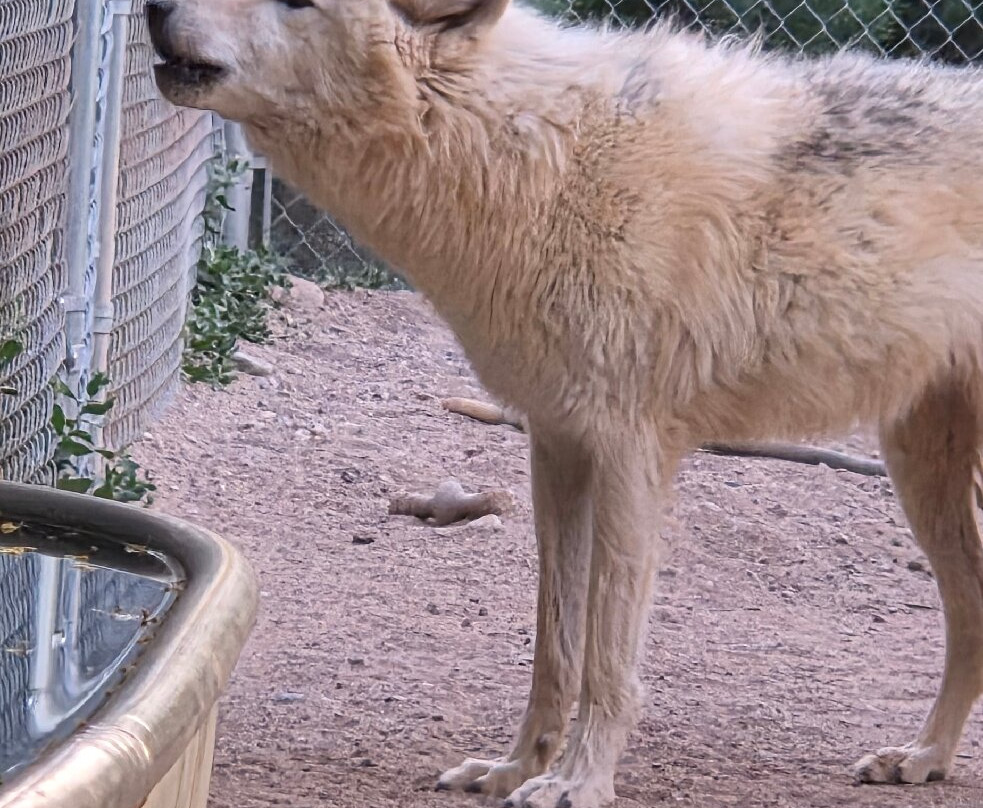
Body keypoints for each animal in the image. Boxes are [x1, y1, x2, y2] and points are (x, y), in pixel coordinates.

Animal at [145, 0, 983, 804]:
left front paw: (578, 783)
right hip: (919, 469)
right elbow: (555, 646)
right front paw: (515, 769)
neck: (543, 160)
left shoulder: (628, 455)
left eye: (297, 1)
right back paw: (922, 759)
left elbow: (607, 656)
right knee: (970, 607)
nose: (154, 7)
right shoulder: (556, 444)